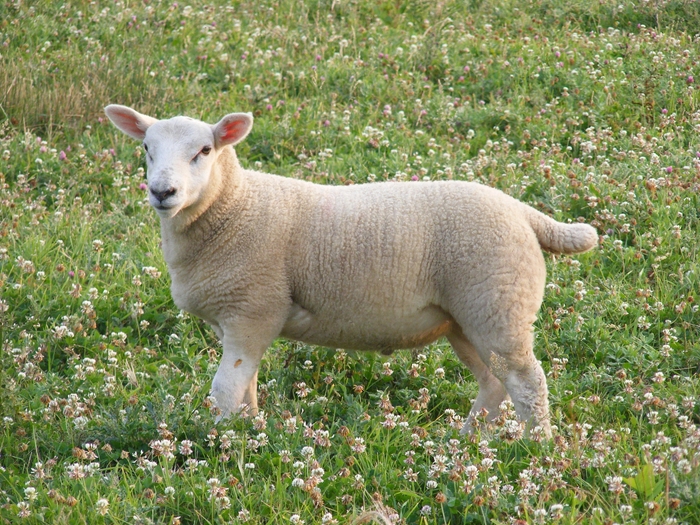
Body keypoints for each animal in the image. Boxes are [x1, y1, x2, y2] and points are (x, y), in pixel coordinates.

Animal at [104, 104, 598, 438]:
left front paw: (223, 443)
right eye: (146, 148)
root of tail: (524, 213)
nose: (162, 192)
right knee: (494, 384)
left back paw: (537, 448)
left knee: (527, 383)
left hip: (499, 305)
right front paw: (250, 432)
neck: (234, 208)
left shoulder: (253, 308)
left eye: (204, 150)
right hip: (468, 317)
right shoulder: (239, 320)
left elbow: (225, 390)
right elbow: (246, 389)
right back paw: (465, 443)